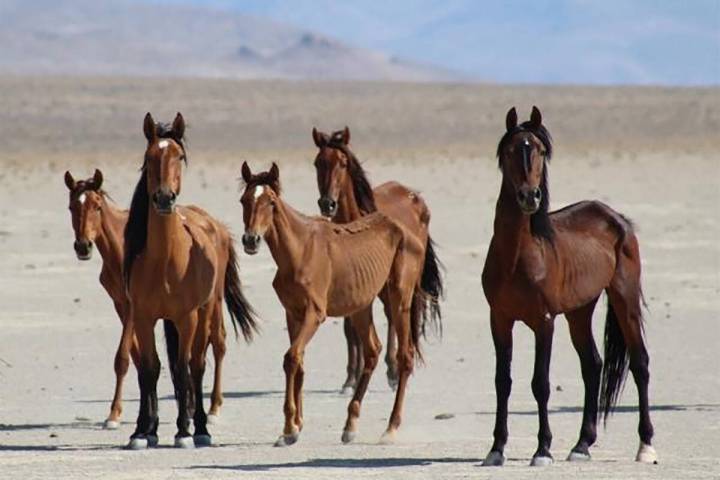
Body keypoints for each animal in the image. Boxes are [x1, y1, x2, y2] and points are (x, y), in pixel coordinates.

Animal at [124, 112, 258, 450]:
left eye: (180, 157)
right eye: (149, 157)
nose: (163, 198)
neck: (165, 261)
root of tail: (215, 226)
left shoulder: (186, 318)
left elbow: (185, 369)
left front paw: (184, 431)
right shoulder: (143, 317)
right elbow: (150, 369)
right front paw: (143, 431)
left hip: (206, 311)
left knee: (196, 366)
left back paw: (199, 427)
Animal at [240, 161, 434, 446]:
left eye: (271, 202)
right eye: (244, 200)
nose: (250, 240)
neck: (299, 249)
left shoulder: (315, 314)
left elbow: (291, 358)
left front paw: (288, 429)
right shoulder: (293, 313)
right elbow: (299, 362)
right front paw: (296, 425)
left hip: (399, 299)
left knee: (405, 356)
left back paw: (390, 428)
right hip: (361, 307)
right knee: (372, 350)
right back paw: (350, 425)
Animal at [310, 127, 442, 394]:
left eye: (343, 163)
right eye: (318, 163)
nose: (327, 204)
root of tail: (414, 196)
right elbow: (350, 328)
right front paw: (351, 378)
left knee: (394, 316)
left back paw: (393, 370)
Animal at [480, 107, 656, 466]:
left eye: (540, 150)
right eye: (510, 151)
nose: (530, 197)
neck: (517, 255)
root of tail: (617, 219)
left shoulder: (543, 321)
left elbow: (540, 384)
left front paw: (542, 450)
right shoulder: (499, 320)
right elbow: (502, 381)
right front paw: (496, 448)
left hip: (624, 299)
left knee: (640, 362)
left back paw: (645, 446)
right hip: (579, 311)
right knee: (593, 365)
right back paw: (582, 445)